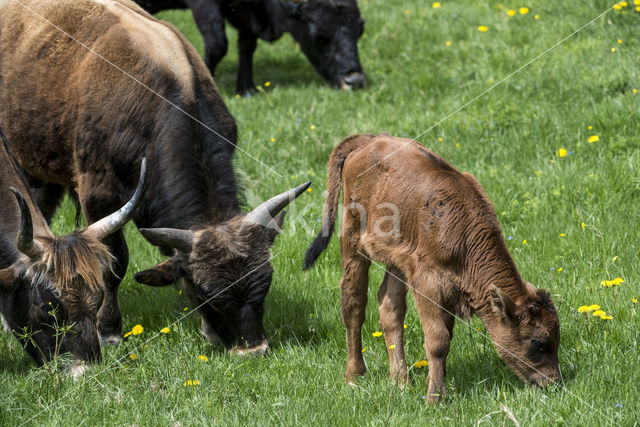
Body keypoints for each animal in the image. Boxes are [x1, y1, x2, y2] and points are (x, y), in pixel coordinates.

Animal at [134, 0, 364, 93]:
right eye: (319, 37)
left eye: (360, 30)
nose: (355, 81)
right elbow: (218, 44)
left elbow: (246, 46)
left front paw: (246, 88)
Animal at [304, 135, 560, 404]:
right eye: (538, 342)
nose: (554, 382)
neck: (463, 232)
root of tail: (370, 139)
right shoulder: (428, 284)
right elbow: (438, 340)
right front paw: (435, 397)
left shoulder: (448, 290)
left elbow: (444, 332)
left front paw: (433, 383)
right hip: (352, 240)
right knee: (353, 302)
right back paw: (355, 376)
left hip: (397, 259)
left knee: (390, 307)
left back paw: (401, 381)